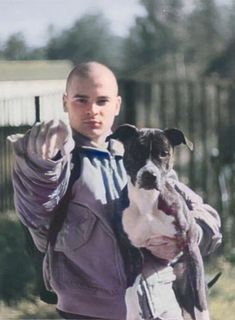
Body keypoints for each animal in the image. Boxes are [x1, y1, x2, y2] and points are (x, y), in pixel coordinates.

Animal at [108, 124, 209, 320]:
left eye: (163, 153)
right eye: (136, 152)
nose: (149, 174)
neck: (147, 201)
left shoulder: (191, 248)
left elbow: (200, 299)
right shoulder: (132, 255)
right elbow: (129, 292)